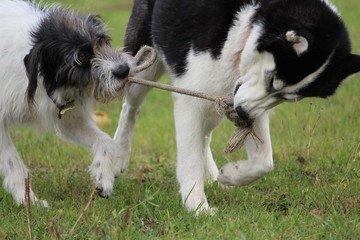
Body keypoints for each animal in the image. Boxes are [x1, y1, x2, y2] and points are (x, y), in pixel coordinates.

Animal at [0, 0, 133, 206]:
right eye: (82, 56)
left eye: (101, 40)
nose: (124, 70)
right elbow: (12, 161)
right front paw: (29, 201)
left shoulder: (69, 120)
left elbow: (105, 140)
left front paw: (103, 177)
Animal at [114, 0, 360, 214]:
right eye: (272, 79)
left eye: (289, 98)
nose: (241, 112)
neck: (245, 27)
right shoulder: (191, 101)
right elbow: (190, 159)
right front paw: (197, 208)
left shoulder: (243, 100)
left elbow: (264, 162)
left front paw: (229, 175)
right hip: (144, 65)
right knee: (130, 108)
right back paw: (118, 156)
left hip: (215, 100)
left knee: (204, 136)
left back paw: (212, 177)